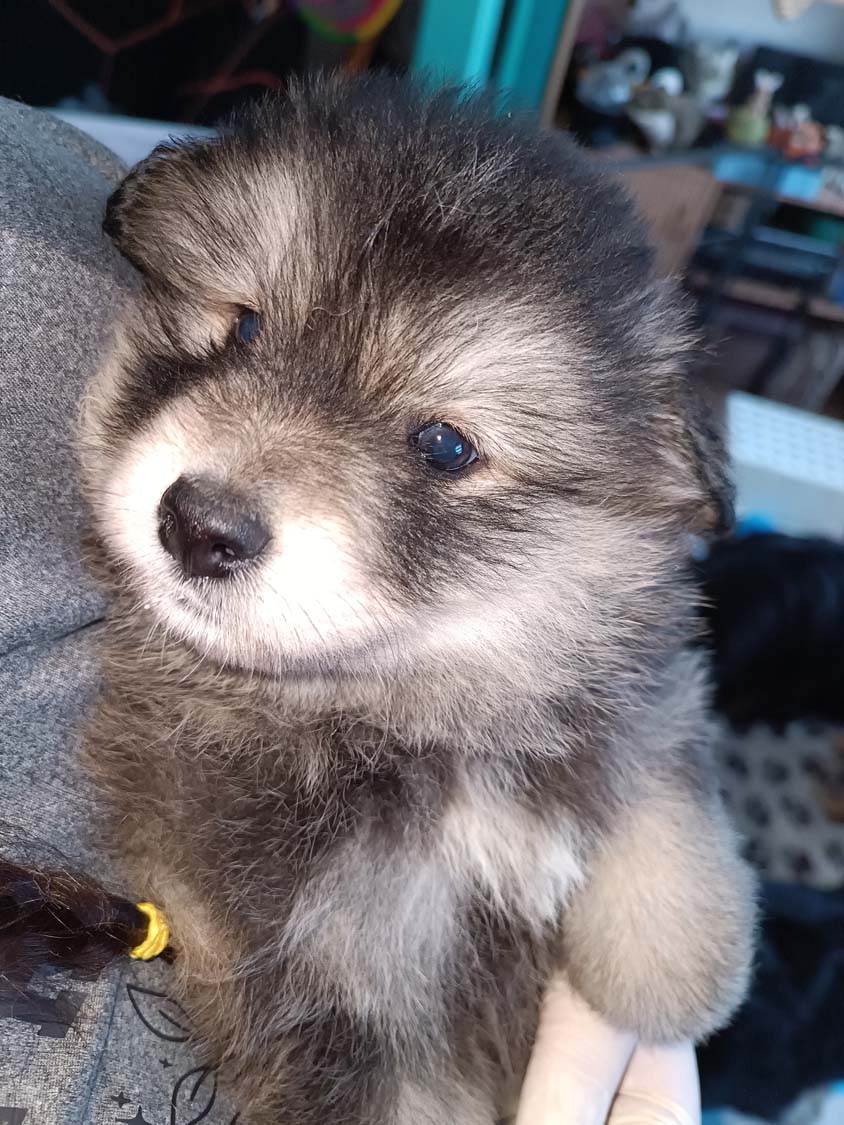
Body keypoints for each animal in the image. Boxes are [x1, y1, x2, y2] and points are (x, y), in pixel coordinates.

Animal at [78, 75, 755, 1122]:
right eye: (243, 327)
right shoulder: (344, 998)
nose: (199, 525)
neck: (414, 722)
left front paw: (678, 961)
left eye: (443, 445)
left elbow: (657, 770)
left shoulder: (626, 691)